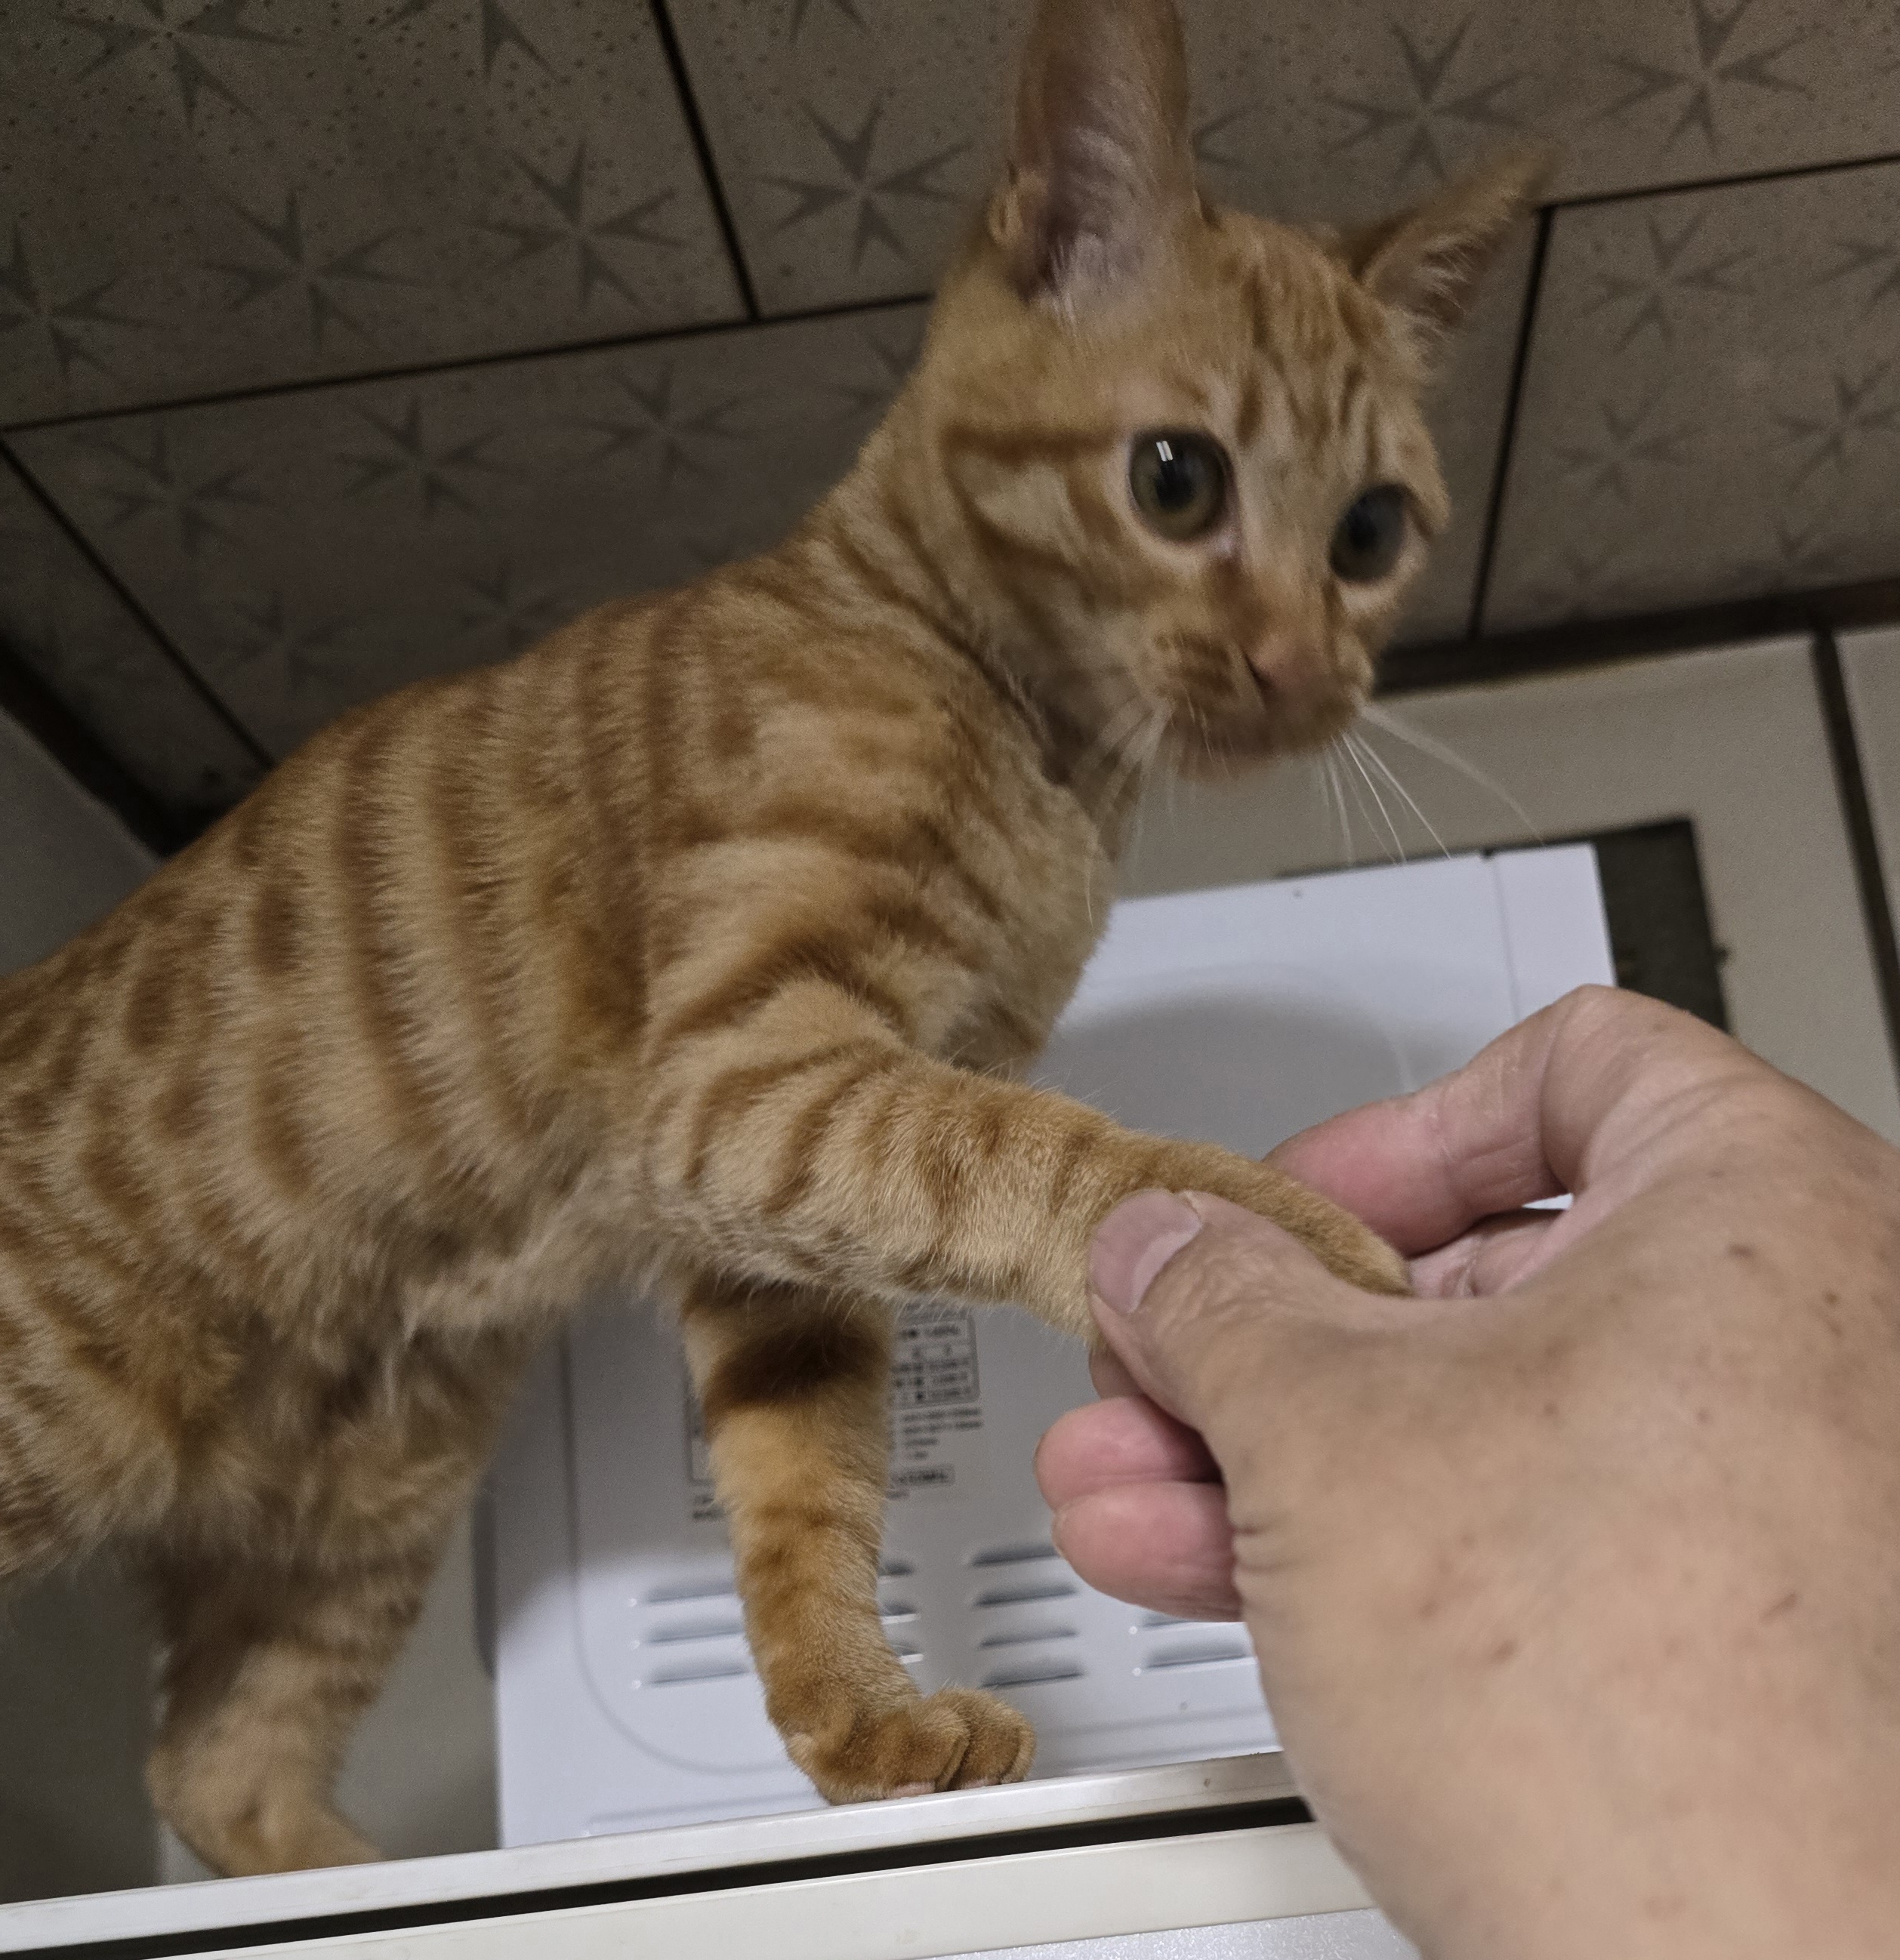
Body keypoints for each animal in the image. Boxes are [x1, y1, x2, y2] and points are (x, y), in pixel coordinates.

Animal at [0, 0, 1542, 1878]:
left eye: (1371, 532)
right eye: (1177, 481)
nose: (1305, 674)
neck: (1039, 756)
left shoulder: (775, 1220)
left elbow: (811, 1489)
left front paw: (863, 1723)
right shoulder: (751, 1074)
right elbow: (1049, 1154)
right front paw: (1273, 1228)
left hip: (364, 1510)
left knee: (216, 1762)